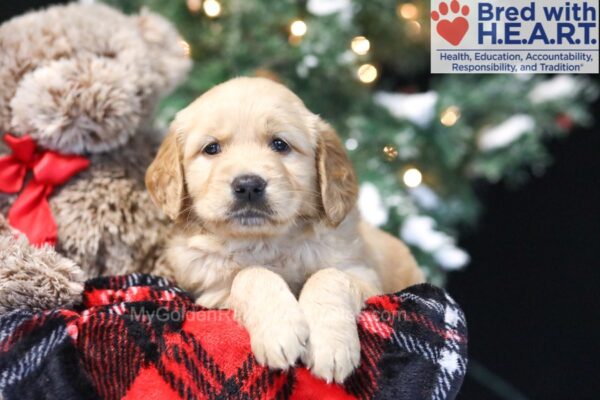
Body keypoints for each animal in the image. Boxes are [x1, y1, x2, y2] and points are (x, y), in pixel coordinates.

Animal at [146, 76, 422, 382]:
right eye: (211, 148)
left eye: (280, 144)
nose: (249, 186)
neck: (266, 241)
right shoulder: (211, 292)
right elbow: (250, 274)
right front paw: (279, 330)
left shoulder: (365, 277)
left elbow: (329, 276)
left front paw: (330, 345)